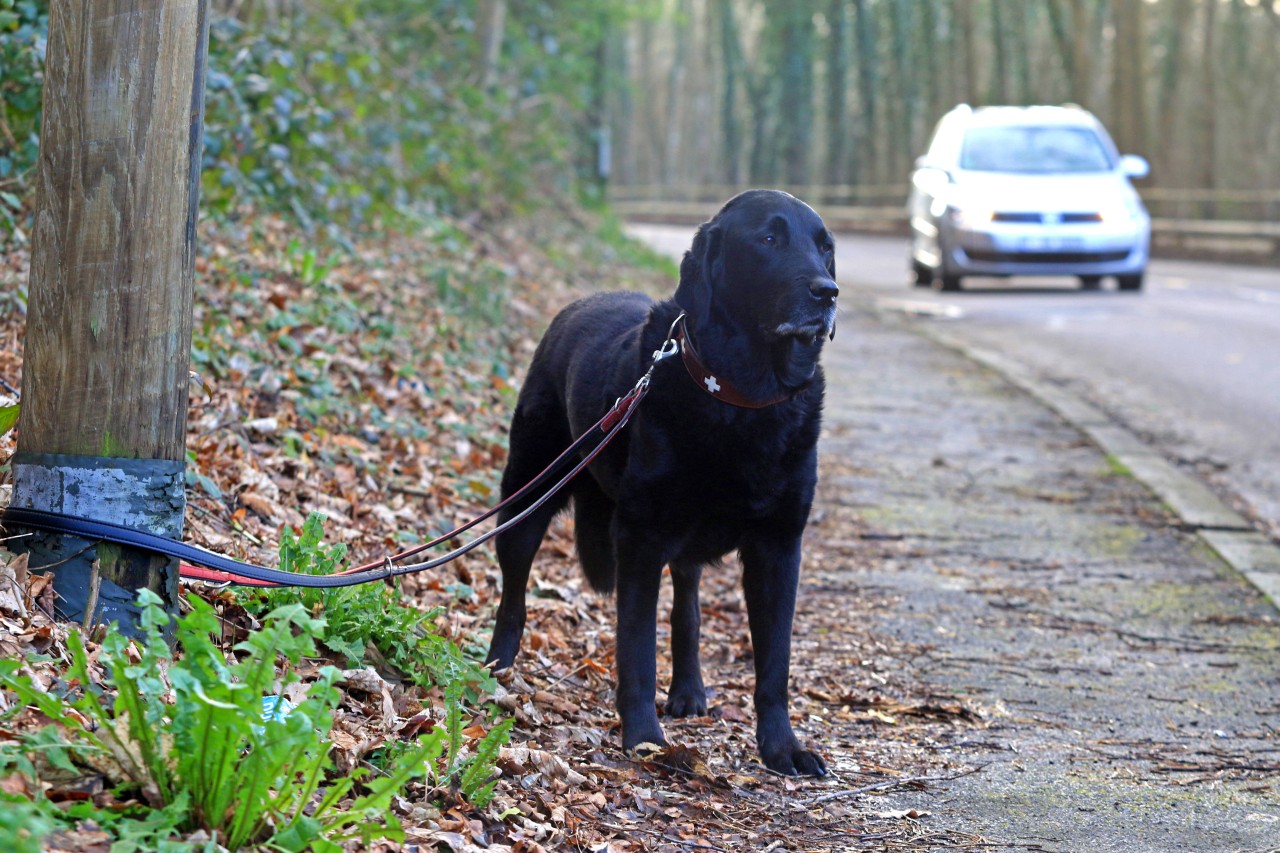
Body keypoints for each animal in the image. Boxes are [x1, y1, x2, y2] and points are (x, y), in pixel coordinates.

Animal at [483, 189, 834, 773]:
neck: (740, 397)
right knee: (514, 594)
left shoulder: (779, 547)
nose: (827, 292)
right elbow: (637, 649)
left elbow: (774, 663)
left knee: (686, 607)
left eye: (826, 248)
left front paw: (782, 747)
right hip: (527, 495)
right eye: (769, 238)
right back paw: (498, 668)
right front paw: (644, 737)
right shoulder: (640, 541)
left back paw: (689, 690)